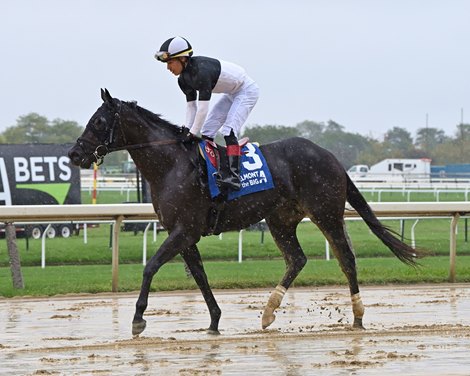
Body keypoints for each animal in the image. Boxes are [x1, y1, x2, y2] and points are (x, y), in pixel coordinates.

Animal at [67, 89, 422, 336]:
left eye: (99, 121)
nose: (74, 153)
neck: (172, 165)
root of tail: (330, 156)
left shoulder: (184, 230)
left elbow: (150, 267)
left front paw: (138, 319)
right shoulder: (184, 234)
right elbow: (199, 275)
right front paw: (214, 321)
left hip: (326, 212)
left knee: (346, 257)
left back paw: (358, 316)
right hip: (281, 220)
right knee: (297, 259)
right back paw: (268, 311)